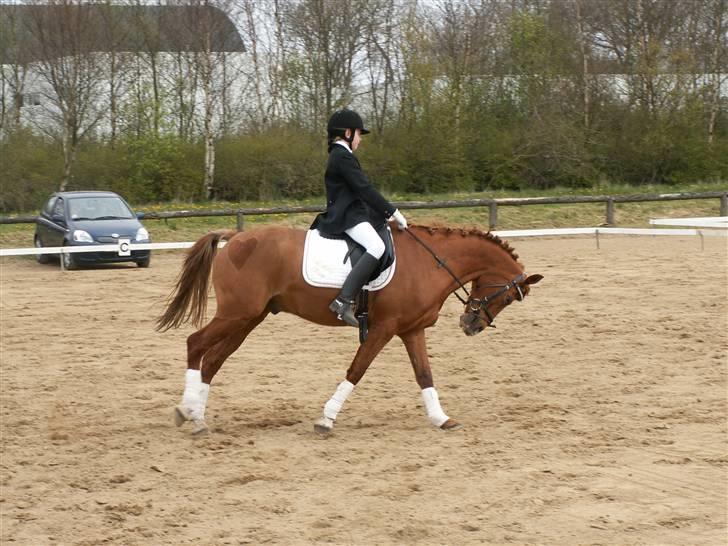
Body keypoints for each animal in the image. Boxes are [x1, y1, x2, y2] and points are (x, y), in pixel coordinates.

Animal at [158, 222, 540, 434]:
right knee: (195, 344)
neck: (431, 264)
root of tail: (236, 237)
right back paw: (186, 411)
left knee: (213, 360)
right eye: (509, 296)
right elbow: (357, 370)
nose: (470, 324)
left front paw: (441, 419)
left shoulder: (411, 330)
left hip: (249, 318)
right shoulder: (384, 328)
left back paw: (198, 418)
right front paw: (326, 419)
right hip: (237, 314)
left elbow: (424, 375)